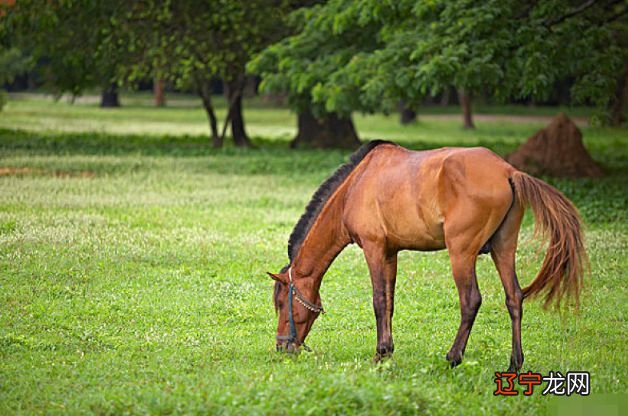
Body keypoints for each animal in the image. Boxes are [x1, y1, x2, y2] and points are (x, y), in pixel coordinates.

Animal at [268, 140, 588, 370]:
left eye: (282, 303)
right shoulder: (390, 253)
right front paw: (387, 352)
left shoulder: (373, 248)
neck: (355, 186)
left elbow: (378, 301)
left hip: (461, 253)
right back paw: (514, 363)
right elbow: (390, 303)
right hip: (503, 248)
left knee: (470, 300)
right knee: (514, 298)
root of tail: (508, 172)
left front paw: (379, 354)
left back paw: (454, 357)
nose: (282, 346)